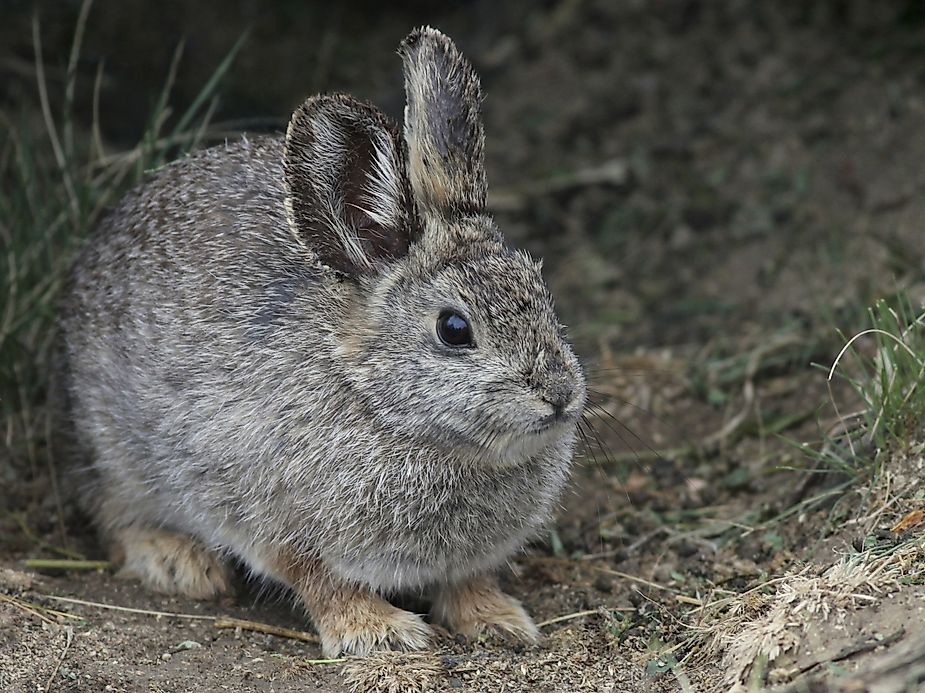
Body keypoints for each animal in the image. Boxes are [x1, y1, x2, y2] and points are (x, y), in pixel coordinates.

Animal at [59, 25, 584, 656]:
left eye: (542, 290)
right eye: (454, 329)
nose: (560, 394)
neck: (380, 406)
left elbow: (467, 580)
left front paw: (499, 620)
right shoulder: (272, 519)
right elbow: (323, 581)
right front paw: (379, 633)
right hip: (114, 449)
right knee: (112, 513)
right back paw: (178, 562)